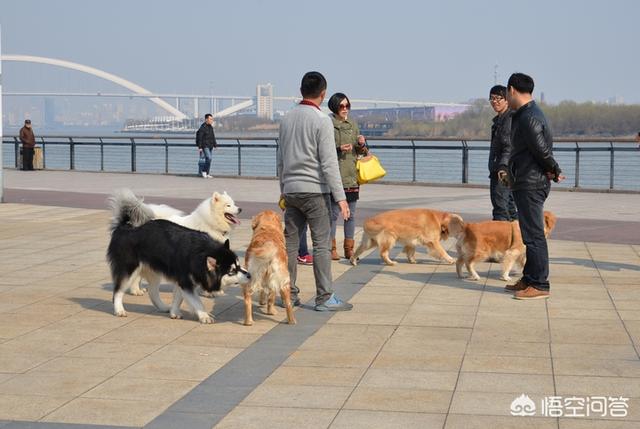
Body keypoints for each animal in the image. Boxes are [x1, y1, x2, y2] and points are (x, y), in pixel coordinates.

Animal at [106, 196, 249, 322]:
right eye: (232, 271)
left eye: (238, 265)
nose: (249, 275)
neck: (199, 254)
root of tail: (125, 227)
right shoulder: (186, 281)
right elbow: (196, 301)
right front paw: (204, 315)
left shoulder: (182, 280)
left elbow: (178, 299)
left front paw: (174, 312)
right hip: (129, 269)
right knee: (118, 291)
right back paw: (119, 309)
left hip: (154, 271)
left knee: (152, 291)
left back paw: (163, 307)